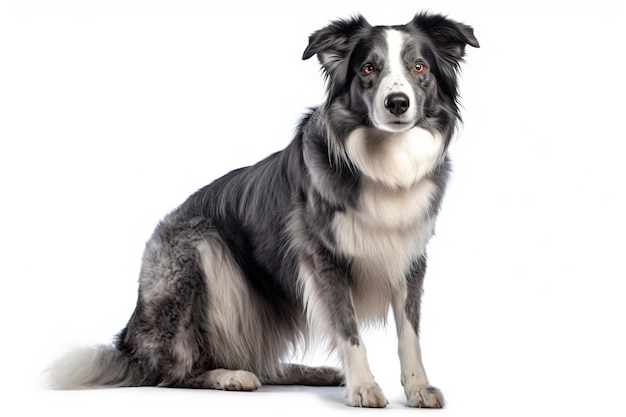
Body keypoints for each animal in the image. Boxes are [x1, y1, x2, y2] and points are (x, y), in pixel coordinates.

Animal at [47, 12, 478, 406]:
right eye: (368, 69)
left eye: (419, 67)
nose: (397, 103)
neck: (385, 162)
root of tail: (130, 341)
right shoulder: (322, 257)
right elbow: (348, 328)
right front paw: (363, 387)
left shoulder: (410, 256)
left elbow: (410, 332)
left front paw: (418, 387)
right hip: (199, 249)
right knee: (172, 372)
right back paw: (229, 376)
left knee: (258, 360)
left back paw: (311, 372)